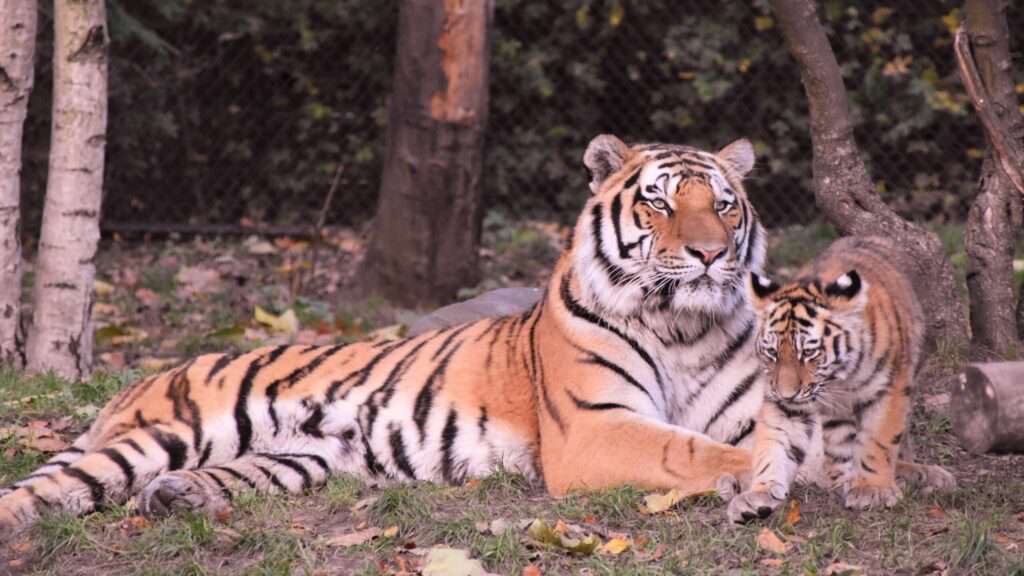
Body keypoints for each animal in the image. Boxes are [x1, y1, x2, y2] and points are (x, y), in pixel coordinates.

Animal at [0, 134, 769, 537]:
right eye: (658, 202)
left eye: (724, 206)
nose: (708, 253)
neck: (682, 327)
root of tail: (137, 383)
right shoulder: (594, 428)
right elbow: (691, 450)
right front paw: (765, 482)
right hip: (171, 432)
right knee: (51, 489)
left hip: (296, 459)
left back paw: (175, 499)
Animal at [724, 236, 956, 524]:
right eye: (772, 353)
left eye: (808, 353)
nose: (787, 393)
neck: (838, 378)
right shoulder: (785, 404)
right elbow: (774, 445)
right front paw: (759, 494)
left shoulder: (888, 391)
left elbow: (878, 441)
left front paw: (873, 490)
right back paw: (842, 479)